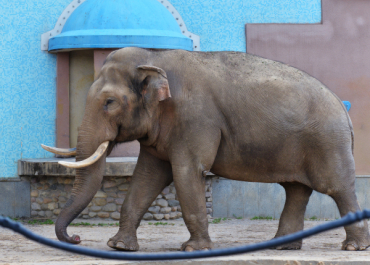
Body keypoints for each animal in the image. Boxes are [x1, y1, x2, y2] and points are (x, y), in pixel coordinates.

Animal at [42, 46, 370, 251]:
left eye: (109, 102)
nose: (77, 238)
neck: (154, 57)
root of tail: (343, 109)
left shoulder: (195, 119)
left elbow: (187, 172)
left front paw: (193, 249)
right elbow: (147, 177)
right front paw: (119, 246)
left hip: (328, 142)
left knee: (337, 187)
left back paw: (353, 247)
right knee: (296, 190)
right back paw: (283, 246)